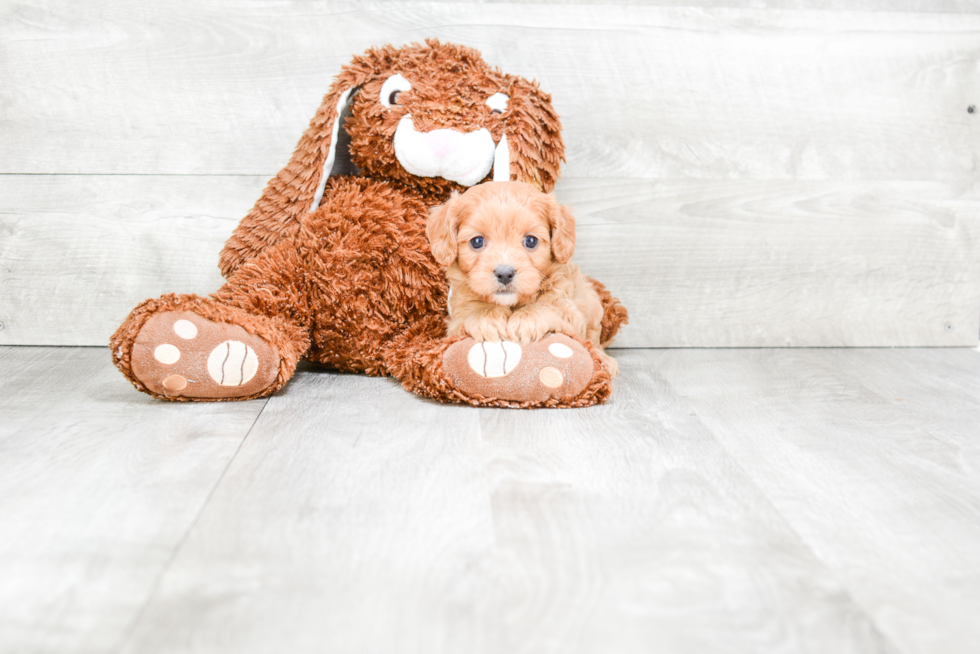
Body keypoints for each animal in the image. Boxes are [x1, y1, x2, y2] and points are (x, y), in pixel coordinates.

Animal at [424, 183, 616, 380]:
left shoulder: (569, 311)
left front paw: (525, 319)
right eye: (477, 241)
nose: (504, 273)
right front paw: (486, 317)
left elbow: (548, 307)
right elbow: (472, 311)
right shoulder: (456, 318)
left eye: (531, 241)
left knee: (594, 340)